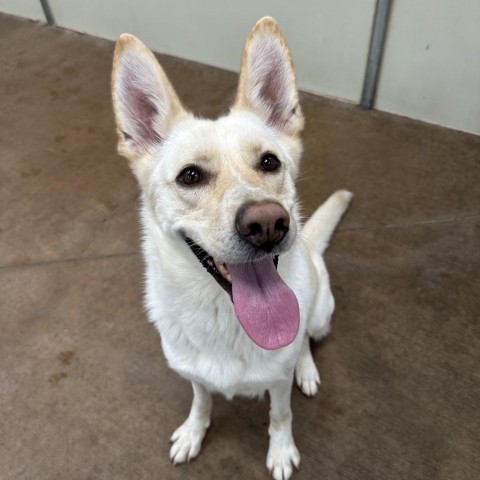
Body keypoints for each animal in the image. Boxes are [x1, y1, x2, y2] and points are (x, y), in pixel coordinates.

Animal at [111, 15, 352, 480]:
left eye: (269, 162)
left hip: (319, 315)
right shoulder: (193, 373)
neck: (227, 316)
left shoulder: (277, 383)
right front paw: (193, 432)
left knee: (306, 341)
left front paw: (281, 451)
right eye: (190, 176)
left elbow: (281, 414)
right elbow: (201, 400)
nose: (268, 224)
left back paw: (306, 368)